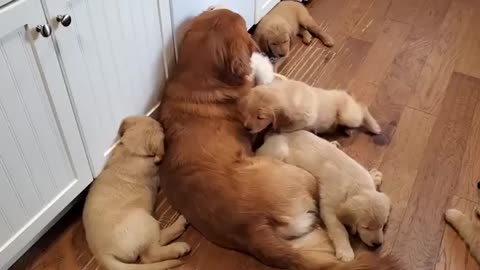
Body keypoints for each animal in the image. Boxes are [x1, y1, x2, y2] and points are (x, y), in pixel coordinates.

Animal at [82, 116, 189, 270]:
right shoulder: (156, 175)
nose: (161, 122)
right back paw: (179, 241)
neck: (130, 152)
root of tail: (101, 253)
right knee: (150, 254)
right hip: (143, 219)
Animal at [238, 78, 380, 135]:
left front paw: (276, 129)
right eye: (247, 113)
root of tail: (346, 94)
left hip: (347, 116)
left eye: (260, 117)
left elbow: (285, 128)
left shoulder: (305, 119)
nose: (246, 128)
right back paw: (348, 130)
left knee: (362, 107)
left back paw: (374, 127)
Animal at [256, 131, 392, 262]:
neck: (357, 187)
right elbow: (339, 230)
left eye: (383, 225)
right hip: (280, 153)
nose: (377, 244)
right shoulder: (329, 209)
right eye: (366, 227)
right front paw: (345, 251)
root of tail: (272, 137)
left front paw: (374, 176)